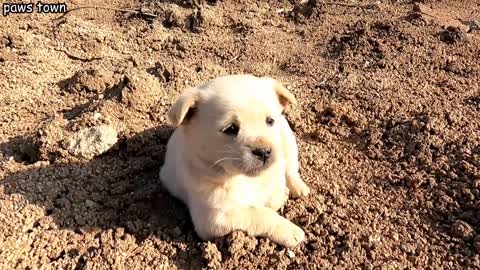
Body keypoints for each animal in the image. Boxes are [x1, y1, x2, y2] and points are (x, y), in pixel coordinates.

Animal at [159, 74, 312, 247]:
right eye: (230, 128)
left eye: (270, 121)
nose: (264, 152)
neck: (243, 178)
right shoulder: (213, 218)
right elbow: (259, 213)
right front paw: (290, 231)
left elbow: (275, 192)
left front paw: (282, 194)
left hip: (287, 138)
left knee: (291, 167)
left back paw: (298, 188)